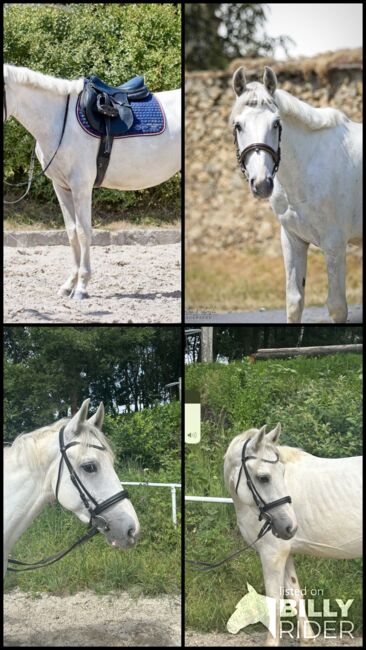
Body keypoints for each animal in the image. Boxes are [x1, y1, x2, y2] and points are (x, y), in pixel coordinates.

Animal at [2, 64, 180, 298]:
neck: (58, 121)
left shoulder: (81, 187)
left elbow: (83, 231)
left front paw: (81, 287)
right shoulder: (61, 187)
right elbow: (71, 232)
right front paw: (69, 284)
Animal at [224, 426, 362, 644]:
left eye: (282, 473)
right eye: (264, 477)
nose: (290, 527)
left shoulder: (272, 554)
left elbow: (275, 601)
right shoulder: (285, 553)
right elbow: (294, 594)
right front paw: (308, 638)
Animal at [230, 67, 362, 322]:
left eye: (275, 124)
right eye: (238, 125)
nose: (261, 184)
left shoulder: (335, 244)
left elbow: (337, 306)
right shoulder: (293, 239)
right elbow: (294, 301)